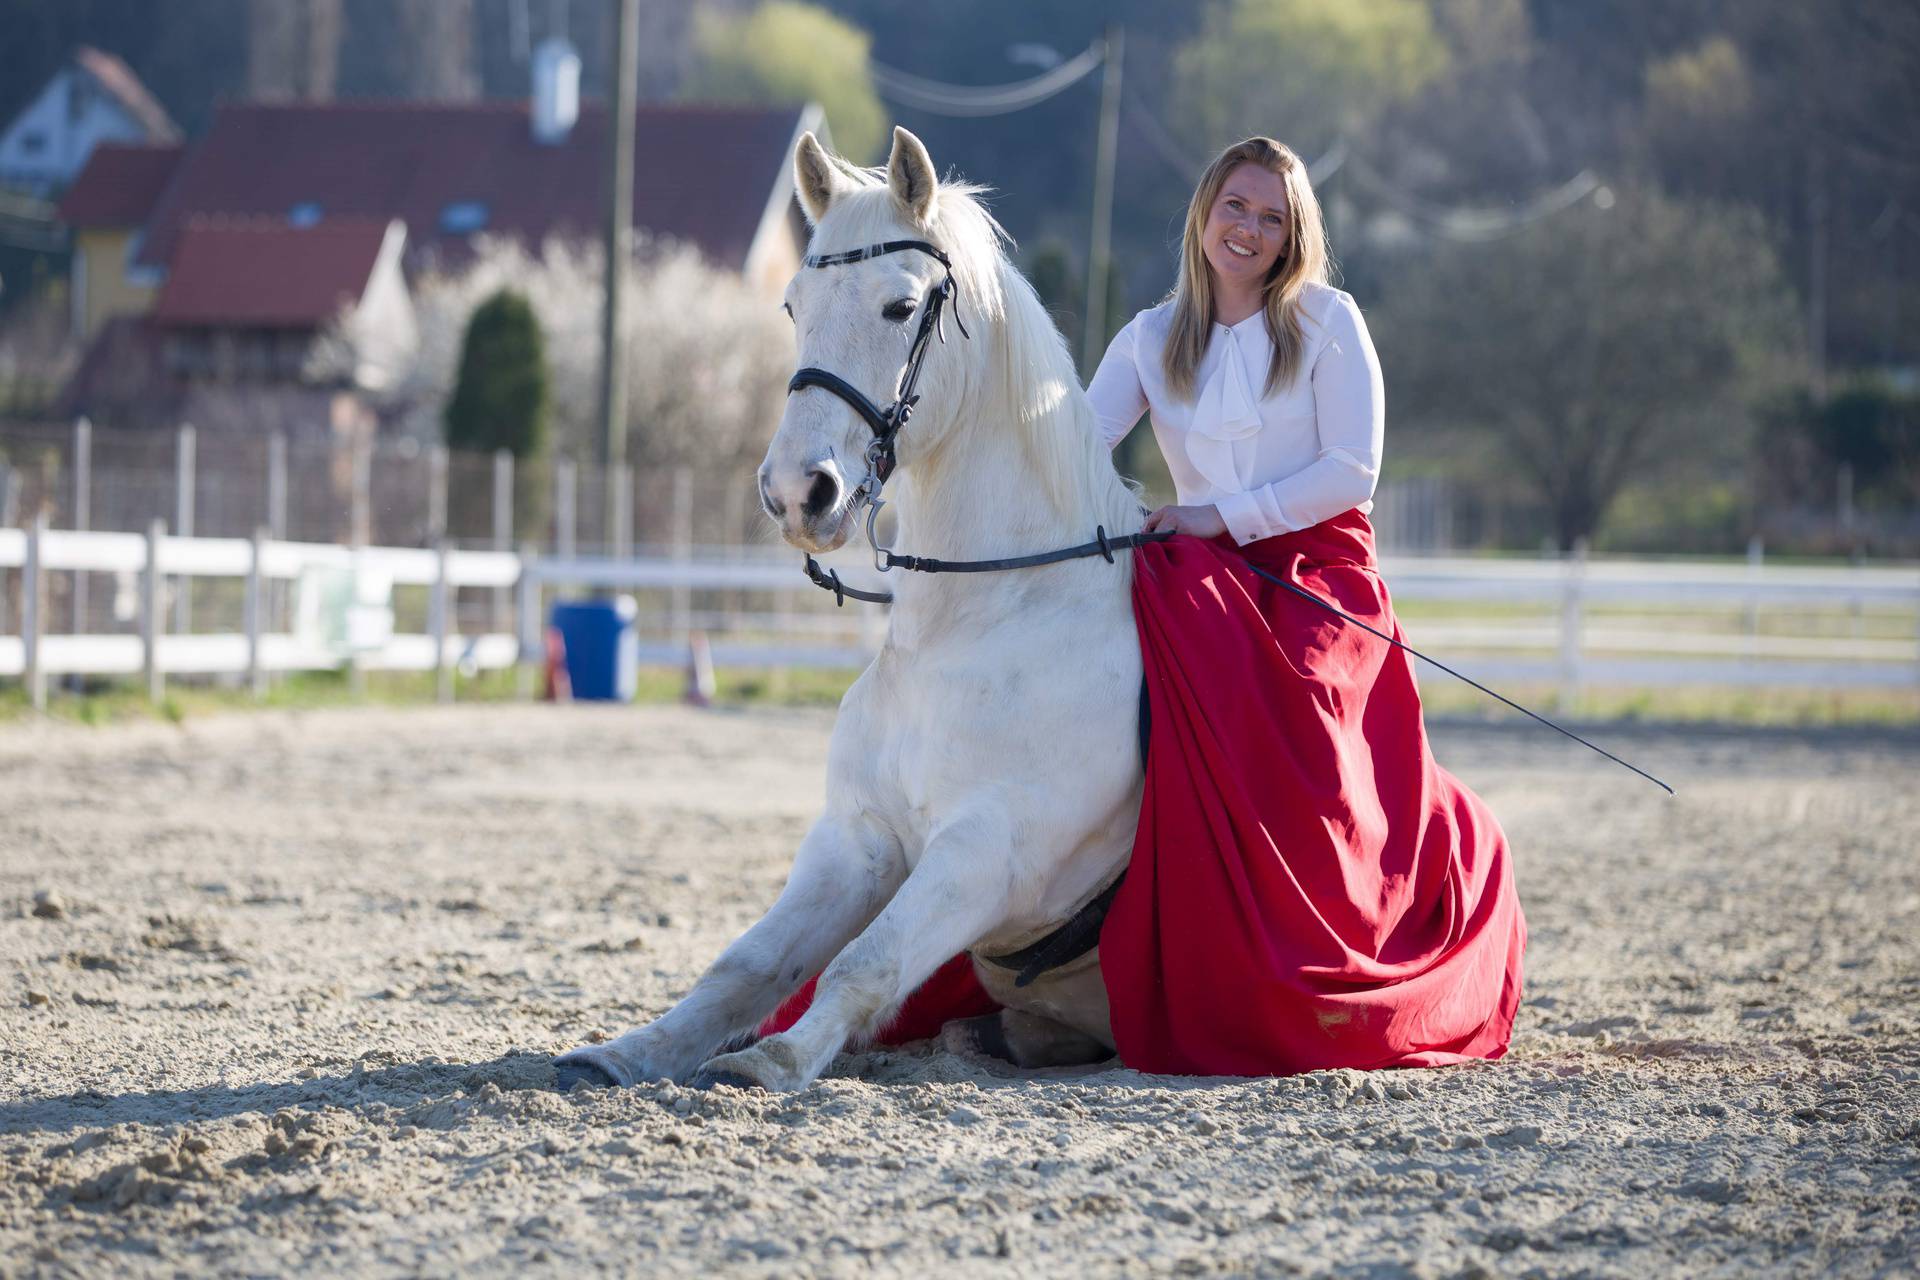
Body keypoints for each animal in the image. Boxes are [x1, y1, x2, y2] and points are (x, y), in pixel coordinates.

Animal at [560, 127, 1152, 1090]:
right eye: (793, 306)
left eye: (898, 306)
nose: (797, 492)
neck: (983, 622)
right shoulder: (858, 839)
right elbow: (747, 963)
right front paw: (628, 1052)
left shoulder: (989, 853)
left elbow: (865, 962)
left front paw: (776, 1058)